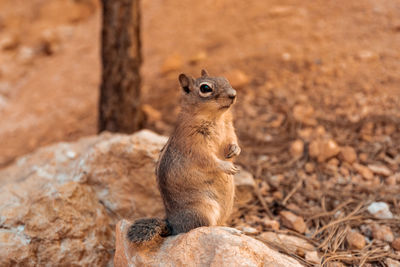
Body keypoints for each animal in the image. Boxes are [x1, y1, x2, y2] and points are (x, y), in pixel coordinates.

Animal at [128, 70, 241, 244]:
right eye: (205, 88)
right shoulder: (194, 146)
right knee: (202, 229)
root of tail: (173, 225)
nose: (233, 94)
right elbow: (208, 160)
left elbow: (232, 141)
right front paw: (227, 166)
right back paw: (229, 230)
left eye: (225, 79)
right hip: (203, 211)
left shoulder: (229, 129)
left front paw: (235, 151)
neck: (216, 117)